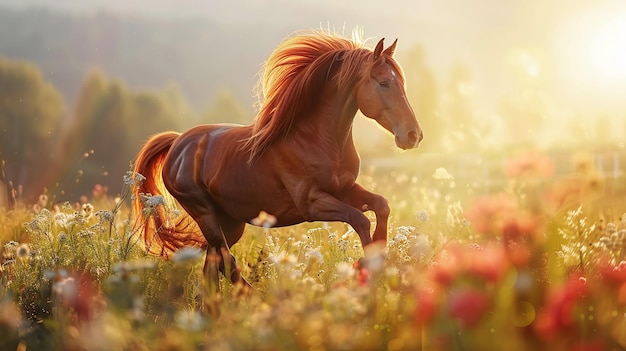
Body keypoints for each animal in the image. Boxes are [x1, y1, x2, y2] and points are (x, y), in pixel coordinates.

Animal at [134, 30, 422, 288]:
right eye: (383, 83)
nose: (413, 135)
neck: (316, 139)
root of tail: (177, 142)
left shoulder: (345, 189)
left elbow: (381, 205)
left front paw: (377, 255)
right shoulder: (311, 203)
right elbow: (360, 219)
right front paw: (367, 265)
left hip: (230, 222)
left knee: (213, 267)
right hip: (204, 212)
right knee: (227, 262)